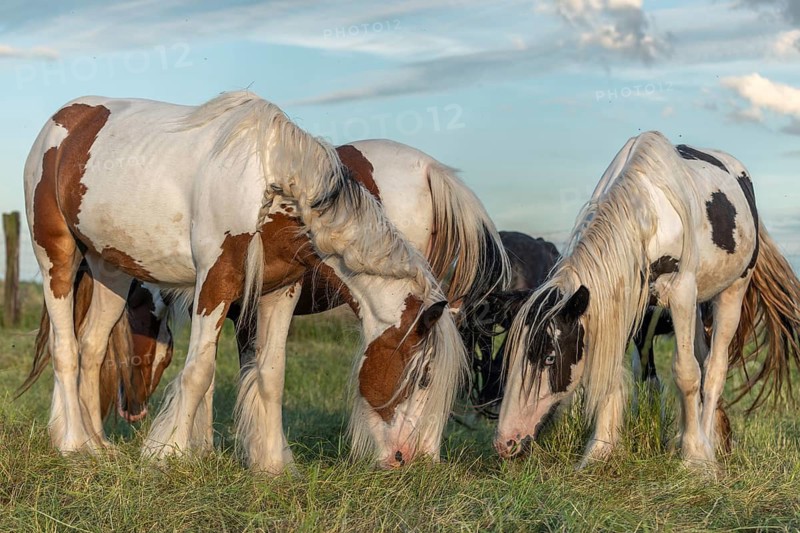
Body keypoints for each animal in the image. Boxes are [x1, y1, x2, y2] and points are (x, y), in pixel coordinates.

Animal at [24, 108, 507, 472]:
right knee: (68, 348)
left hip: (109, 269)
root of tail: (65, 119)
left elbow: (267, 375)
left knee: (89, 347)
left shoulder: (276, 292)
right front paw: (174, 453)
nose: (405, 457)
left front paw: (270, 464)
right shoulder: (216, 284)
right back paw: (73, 443)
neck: (273, 184)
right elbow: (201, 372)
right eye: (422, 377)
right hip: (58, 258)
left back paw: (93, 443)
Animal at [495, 131, 800, 469]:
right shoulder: (622, 302)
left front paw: (695, 458)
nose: (505, 442)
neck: (647, 218)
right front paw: (599, 450)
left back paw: (707, 444)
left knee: (714, 369)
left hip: (732, 291)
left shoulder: (680, 293)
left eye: (549, 357)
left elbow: (687, 373)